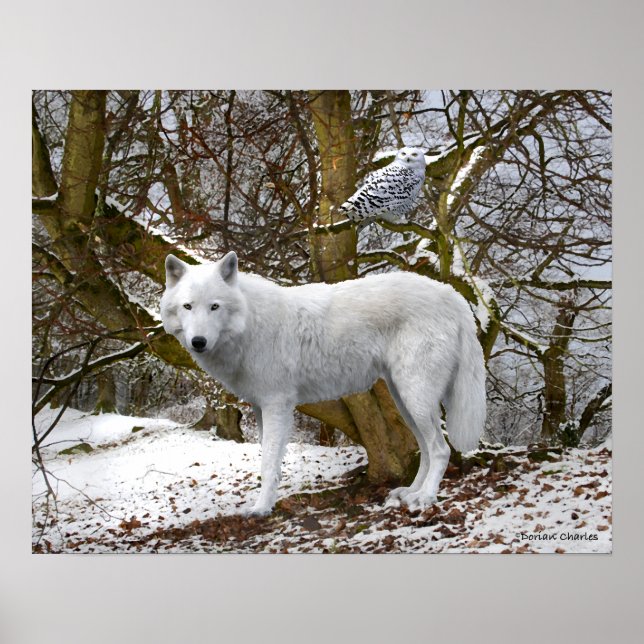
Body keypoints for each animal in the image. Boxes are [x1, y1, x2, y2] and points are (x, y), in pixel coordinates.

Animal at [160, 251, 486, 516]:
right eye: (188, 306)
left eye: (214, 307)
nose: (198, 341)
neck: (249, 324)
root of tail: (450, 293)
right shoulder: (260, 407)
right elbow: (268, 462)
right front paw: (266, 503)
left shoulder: (277, 405)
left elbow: (268, 464)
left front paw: (261, 509)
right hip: (405, 400)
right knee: (426, 450)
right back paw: (410, 492)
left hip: (415, 397)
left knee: (441, 449)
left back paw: (425, 497)